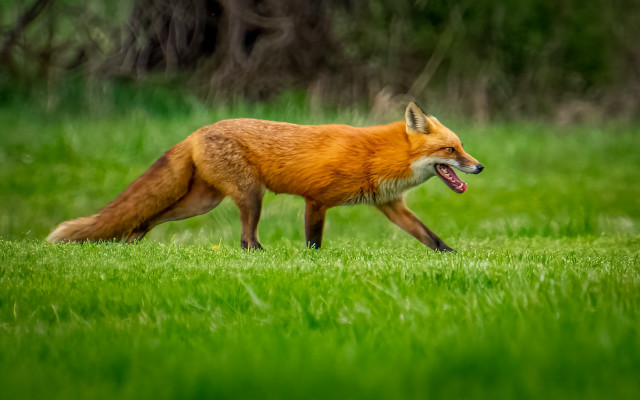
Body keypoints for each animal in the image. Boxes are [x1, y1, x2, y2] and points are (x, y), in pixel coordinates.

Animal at [47, 102, 483, 252]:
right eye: (451, 150)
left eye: (462, 147)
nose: (479, 167)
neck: (379, 155)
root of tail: (196, 132)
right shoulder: (316, 200)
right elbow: (313, 242)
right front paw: (311, 265)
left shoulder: (390, 204)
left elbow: (429, 236)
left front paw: (452, 256)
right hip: (249, 196)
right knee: (244, 240)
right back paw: (260, 254)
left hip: (200, 202)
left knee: (148, 216)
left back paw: (130, 242)